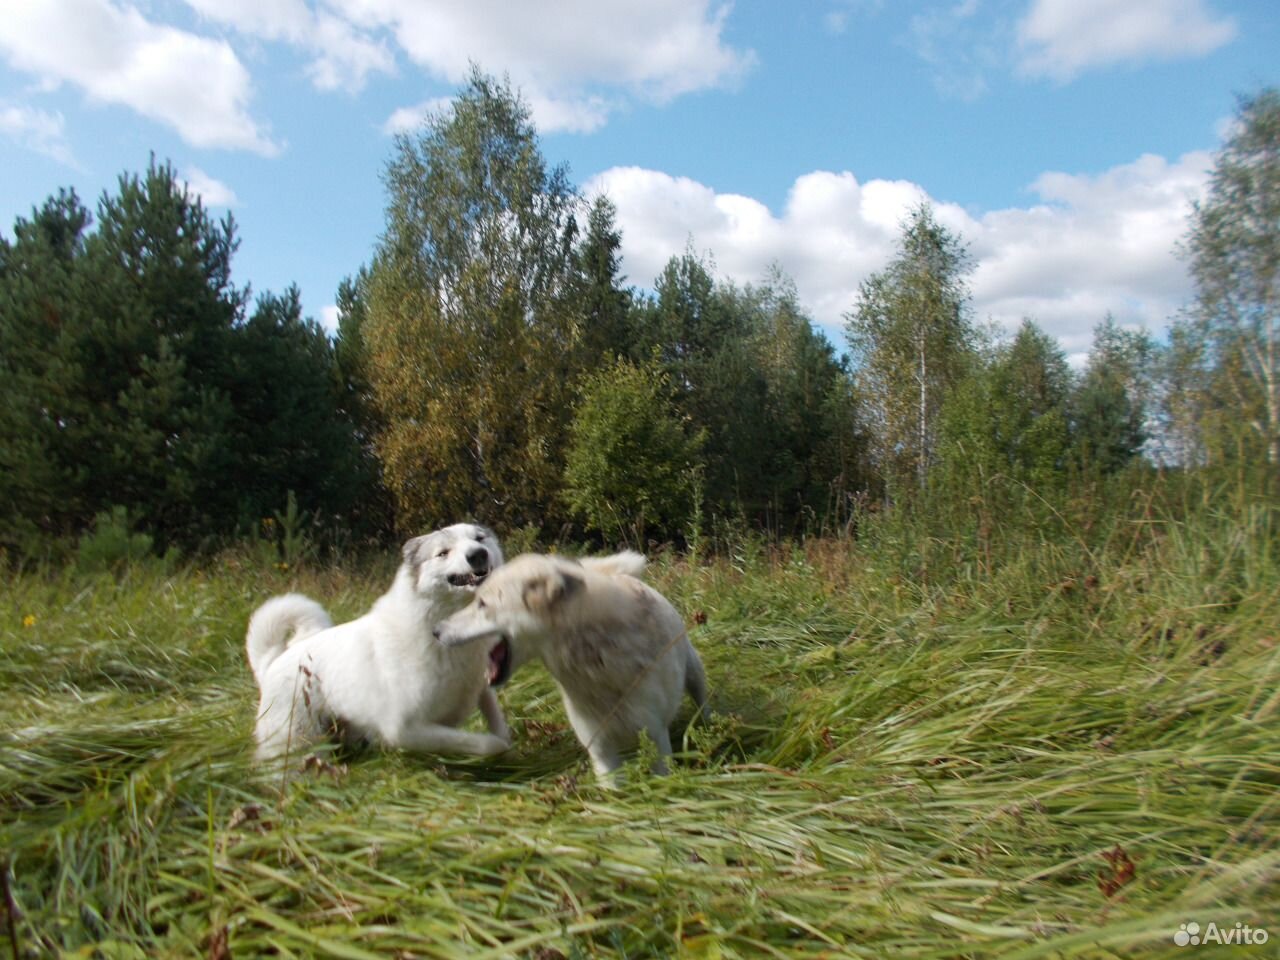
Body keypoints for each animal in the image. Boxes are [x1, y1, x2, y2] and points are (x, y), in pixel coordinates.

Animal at [244, 522, 509, 762]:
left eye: (479, 538)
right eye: (443, 553)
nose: (478, 554)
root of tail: (271, 662)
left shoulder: (481, 685)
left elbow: (497, 719)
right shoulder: (405, 730)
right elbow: (485, 744)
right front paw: (501, 749)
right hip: (299, 741)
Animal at [435, 552, 706, 783]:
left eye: (482, 603)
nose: (436, 631)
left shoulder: (656, 739)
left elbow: (662, 776)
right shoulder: (601, 752)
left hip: (695, 673)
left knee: (703, 702)